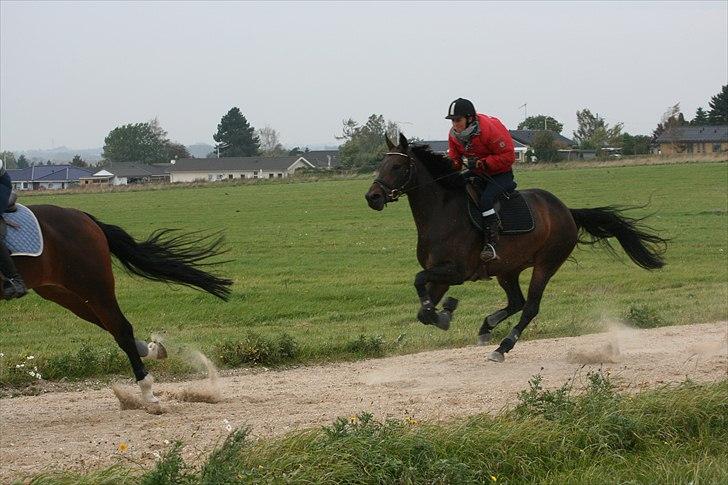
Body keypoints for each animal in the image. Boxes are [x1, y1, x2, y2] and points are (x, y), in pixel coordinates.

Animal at [2, 204, 230, 400]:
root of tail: (84, 218)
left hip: (93, 286)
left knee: (121, 329)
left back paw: (148, 393)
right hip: (62, 291)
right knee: (113, 327)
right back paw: (151, 350)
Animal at [364, 134, 664, 362]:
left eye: (397, 166)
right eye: (382, 163)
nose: (372, 197)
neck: (442, 212)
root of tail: (567, 211)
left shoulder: (456, 271)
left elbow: (419, 282)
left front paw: (445, 313)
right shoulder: (440, 274)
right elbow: (423, 310)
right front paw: (444, 312)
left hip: (545, 264)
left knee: (530, 306)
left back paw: (503, 346)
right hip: (507, 269)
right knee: (516, 301)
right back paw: (487, 327)